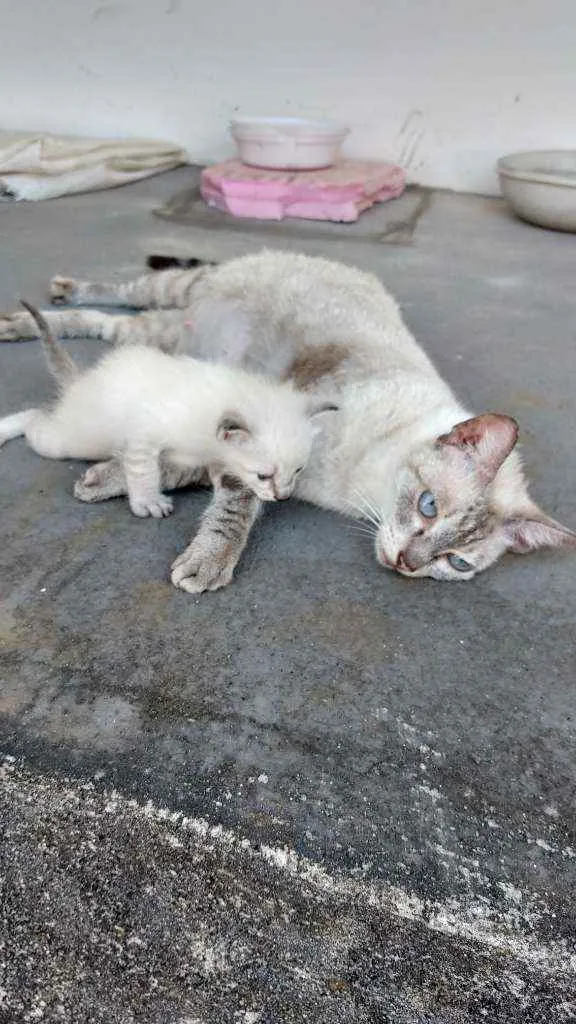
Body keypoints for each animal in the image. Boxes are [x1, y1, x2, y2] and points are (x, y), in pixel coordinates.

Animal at [0, 248, 569, 598]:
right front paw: (208, 560)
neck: (357, 490)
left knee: (107, 323)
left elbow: (192, 469)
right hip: (178, 290)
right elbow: (235, 502)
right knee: (124, 292)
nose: (408, 562)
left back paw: (33, 317)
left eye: (456, 563)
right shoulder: (264, 435)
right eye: (428, 506)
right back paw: (38, 306)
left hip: (159, 331)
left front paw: (111, 480)